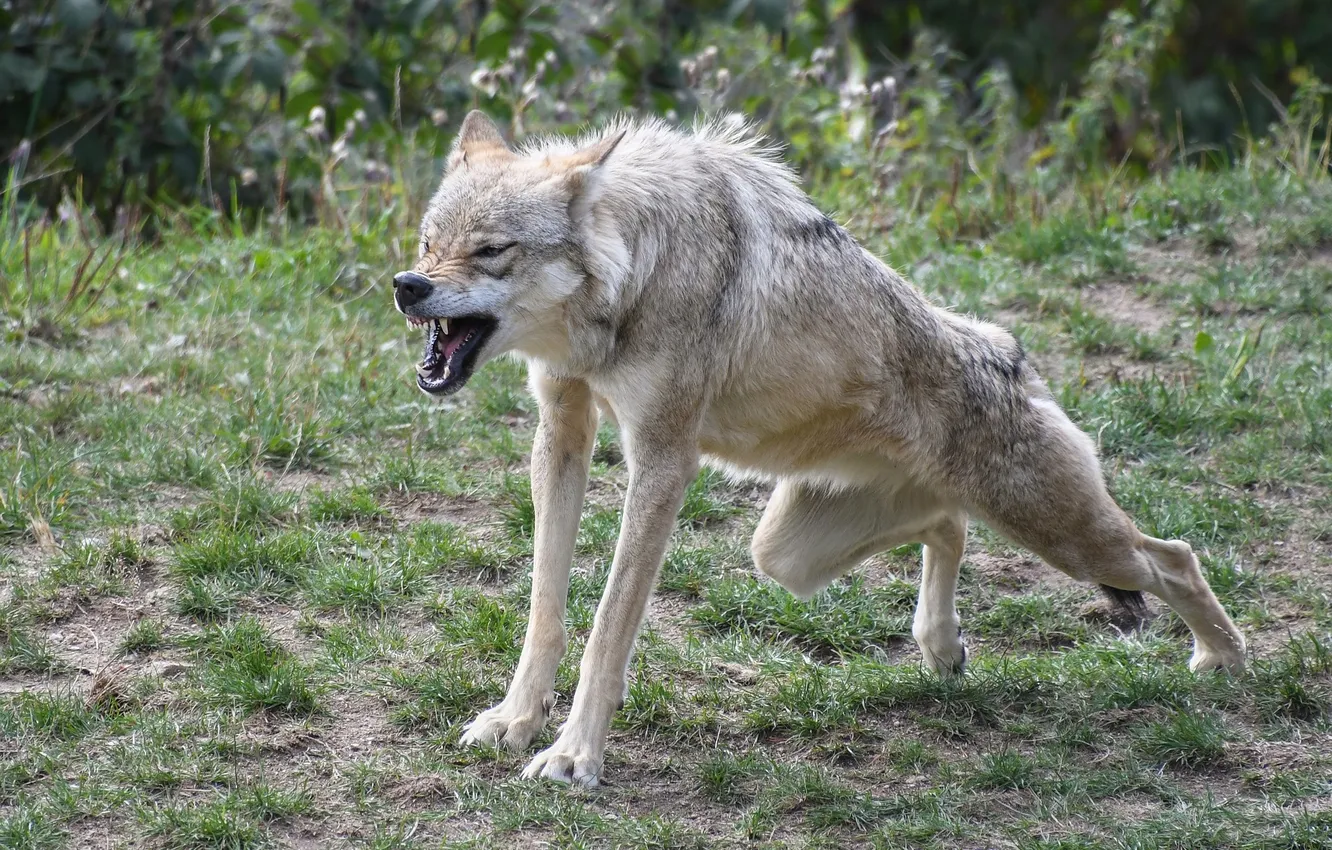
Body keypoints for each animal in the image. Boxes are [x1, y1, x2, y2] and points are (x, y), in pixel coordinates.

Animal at [391, 110, 1247, 787]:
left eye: (491, 250)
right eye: (429, 242)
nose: (407, 285)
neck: (636, 270)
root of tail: (1009, 351)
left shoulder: (662, 460)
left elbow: (607, 626)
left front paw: (574, 757)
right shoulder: (561, 433)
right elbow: (546, 608)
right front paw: (515, 720)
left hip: (1066, 537)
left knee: (1173, 556)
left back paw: (1225, 662)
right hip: (787, 555)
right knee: (948, 525)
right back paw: (943, 648)